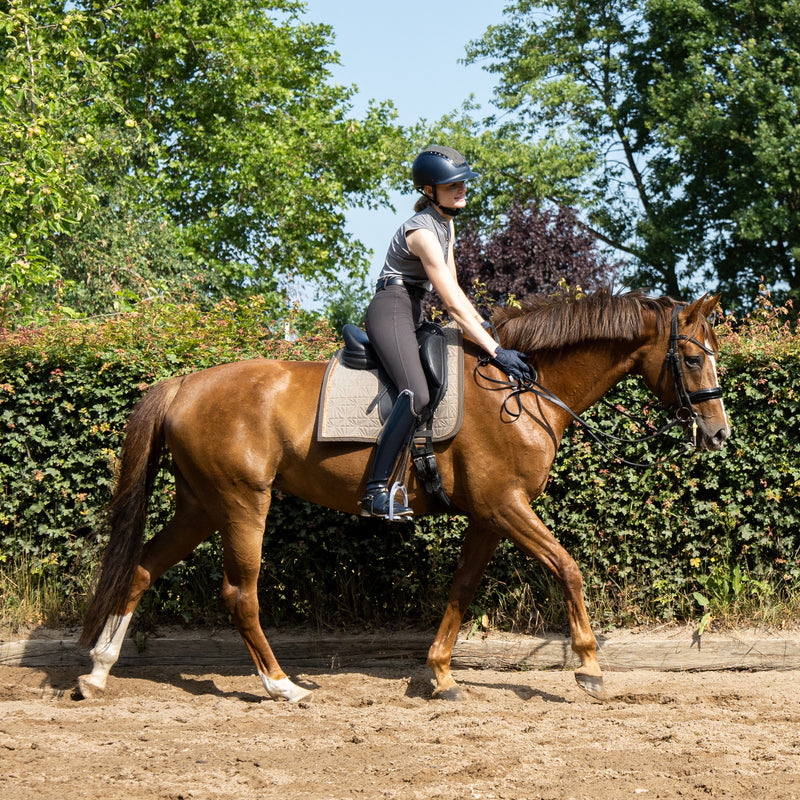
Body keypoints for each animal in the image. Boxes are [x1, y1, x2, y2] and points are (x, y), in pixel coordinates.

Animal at [75, 289, 730, 704]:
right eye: (690, 357)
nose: (719, 433)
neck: (522, 390)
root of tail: (185, 383)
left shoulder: (489, 516)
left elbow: (462, 589)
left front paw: (439, 675)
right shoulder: (506, 506)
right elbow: (567, 568)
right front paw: (590, 668)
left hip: (201, 505)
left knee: (140, 568)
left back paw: (98, 673)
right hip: (241, 504)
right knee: (240, 594)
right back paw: (281, 685)